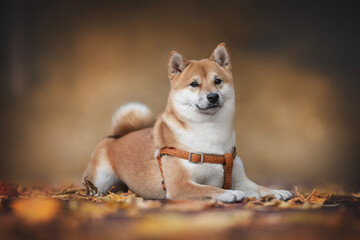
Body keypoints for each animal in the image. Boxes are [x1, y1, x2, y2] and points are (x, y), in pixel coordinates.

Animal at [83, 43, 292, 202]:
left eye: (218, 81)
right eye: (194, 84)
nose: (213, 96)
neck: (211, 134)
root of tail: (115, 136)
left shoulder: (240, 179)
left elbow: (259, 187)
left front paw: (277, 191)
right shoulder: (179, 185)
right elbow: (209, 189)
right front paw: (229, 193)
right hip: (100, 179)